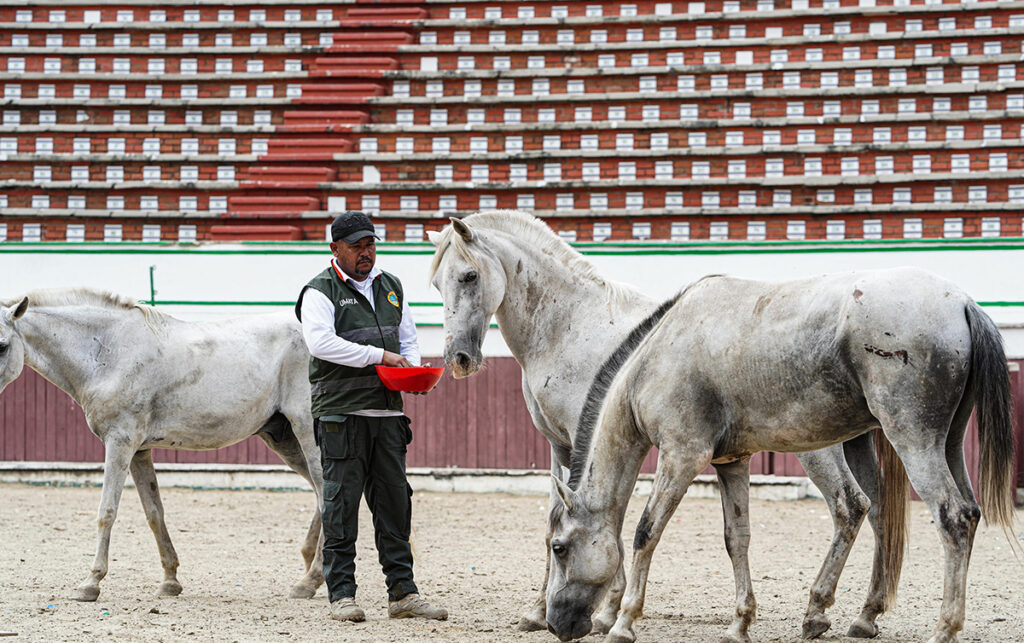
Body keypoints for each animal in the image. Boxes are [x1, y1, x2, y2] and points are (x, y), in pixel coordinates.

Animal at [0, 289, 326, 602]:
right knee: (319, 496)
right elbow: (154, 512)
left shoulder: (119, 444)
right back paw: (311, 567)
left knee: (327, 496)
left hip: (308, 434)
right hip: (284, 440)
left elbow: (107, 511)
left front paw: (91, 583)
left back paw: (310, 580)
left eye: (2, 345)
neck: (109, 351)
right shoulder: (139, 451)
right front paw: (170, 581)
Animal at [428, 210, 900, 639]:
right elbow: (553, 521)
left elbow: (619, 526)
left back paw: (817, 612)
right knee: (879, 514)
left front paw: (610, 612)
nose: (459, 358)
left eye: (469, 276)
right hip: (856, 444)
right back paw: (866, 614)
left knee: (849, 507)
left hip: (816, 448)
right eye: (436, 284)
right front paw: (540, 610)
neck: (571, 325)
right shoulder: (560, 446)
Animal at [543, 269, 1016, 643]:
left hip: (913, 441)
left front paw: (624, 622)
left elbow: (646, 532)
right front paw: (740, 623)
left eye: (559, 548)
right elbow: (737, 539)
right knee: (950, 513)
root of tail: (962, 303)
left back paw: (942, 628)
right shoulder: (731, 463)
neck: (657, 357)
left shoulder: (681, 458)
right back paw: (859, 616)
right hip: (946, 445)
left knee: (949, 518)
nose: (553, 623)